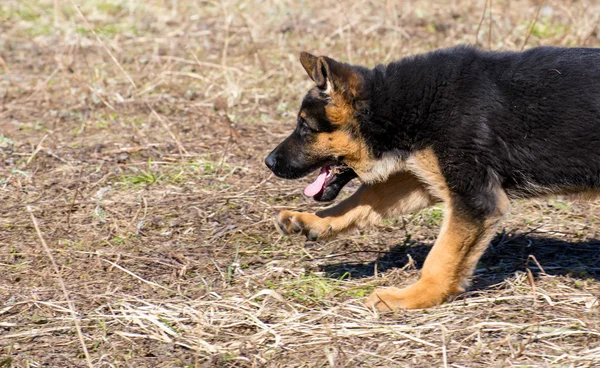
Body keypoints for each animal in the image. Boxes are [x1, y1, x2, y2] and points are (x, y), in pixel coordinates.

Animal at [264, 46, 600, 310]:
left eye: (305, 127)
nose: (268, 162)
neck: (397, 104)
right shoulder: (424, 178)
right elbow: (366, 198)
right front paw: (311, 221)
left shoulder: (475, 199)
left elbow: (441, 258)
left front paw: (413, 297)